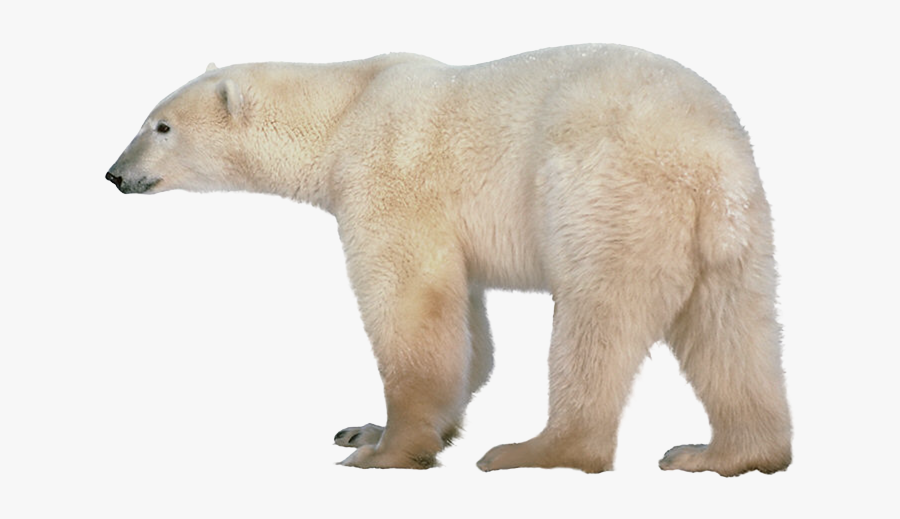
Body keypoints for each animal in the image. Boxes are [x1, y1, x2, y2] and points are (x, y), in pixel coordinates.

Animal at [106, 44, 792, 475]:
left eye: (161, 126)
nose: (115, 173)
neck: (345, 107)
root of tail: (710, 152)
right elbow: (468, 331)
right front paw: (367, 429)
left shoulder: (388, 175)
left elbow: (412, 305)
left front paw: (383, 451)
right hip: (734, 230)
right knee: (734, 333)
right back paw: (723, 454)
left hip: (608, 192)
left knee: (598, 321)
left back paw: (533, 450)